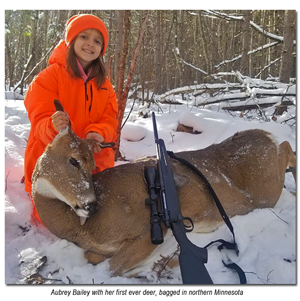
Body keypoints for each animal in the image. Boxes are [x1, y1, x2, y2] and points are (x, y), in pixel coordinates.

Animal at [31, 109, 296, 274]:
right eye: (73, 160)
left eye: (91, 165)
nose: (91, 205)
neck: (84, 230)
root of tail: (265, 135)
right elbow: (93, 257)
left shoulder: (145, 231)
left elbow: (113, 267)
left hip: (267, 187)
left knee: (285, 148)